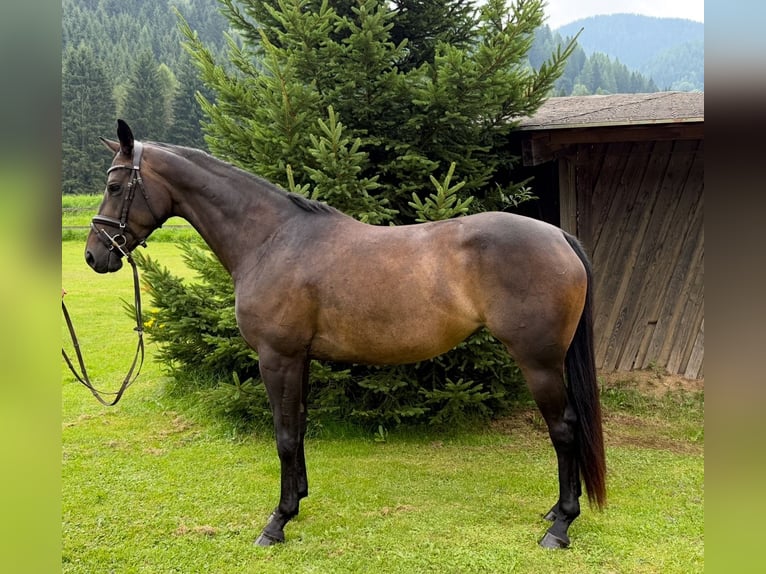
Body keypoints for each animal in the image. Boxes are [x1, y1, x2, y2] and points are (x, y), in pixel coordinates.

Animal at [85, 119, 605, 549]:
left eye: (114, 185)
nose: (94, 255)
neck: (272, 239)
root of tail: (558, 237)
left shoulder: (277, 357)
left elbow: (284, 434)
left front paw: (277, 522)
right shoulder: (300, 358)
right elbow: (299, 426)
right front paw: (297, 499)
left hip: (539, 361)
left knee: (564, 429)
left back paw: (561, 526)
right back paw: (556, 512)